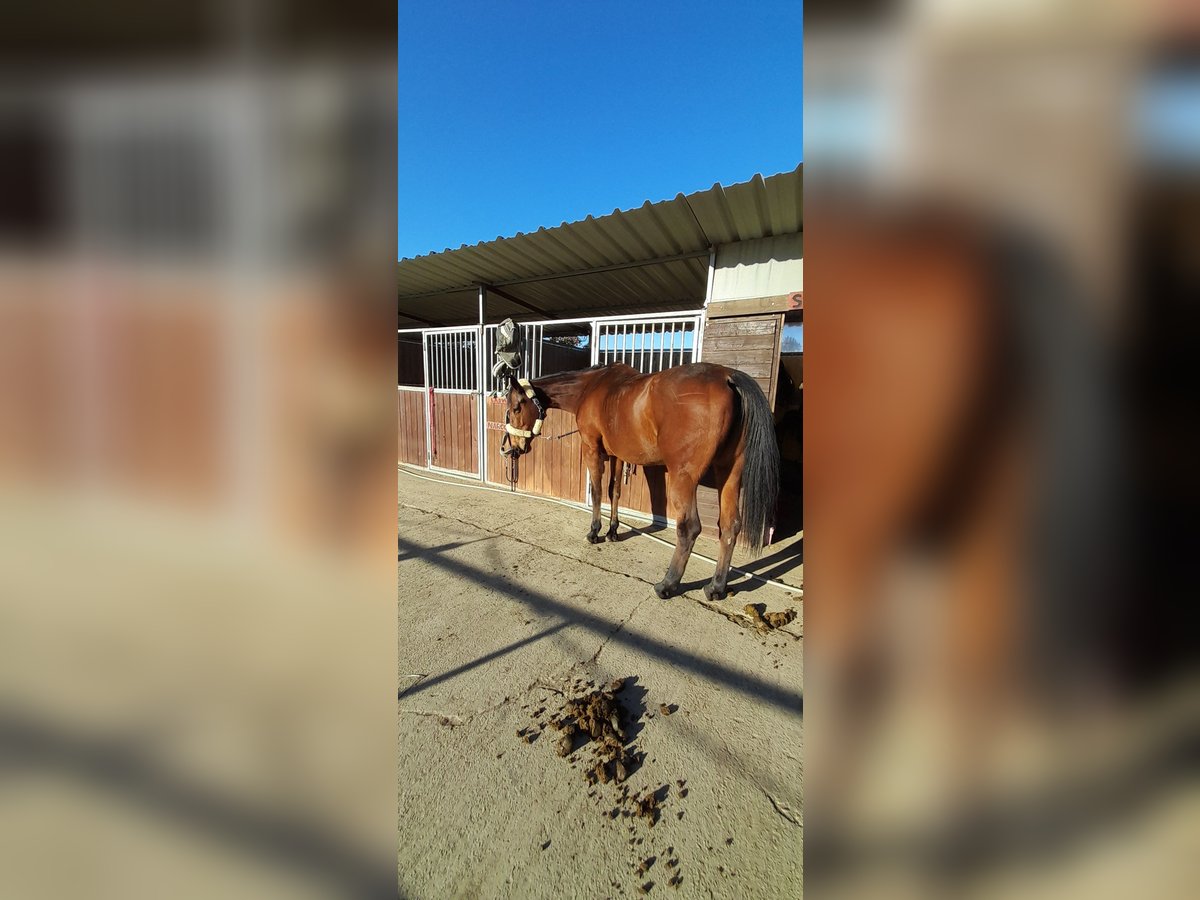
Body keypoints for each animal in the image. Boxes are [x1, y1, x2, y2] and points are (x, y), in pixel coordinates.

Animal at [496, 362, 777, 602]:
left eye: (515, 408)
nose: (512, 449)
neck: (591, 387)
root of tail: (728, 377)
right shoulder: (618, 456)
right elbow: (615, 492)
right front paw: (612, 532)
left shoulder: (592, 450)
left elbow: (597, 492)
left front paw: (594, 532)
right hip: (729, 473)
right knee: (730, 526)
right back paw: (716, 587)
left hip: (684, 478)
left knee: (689, 528)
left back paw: (667, 585)